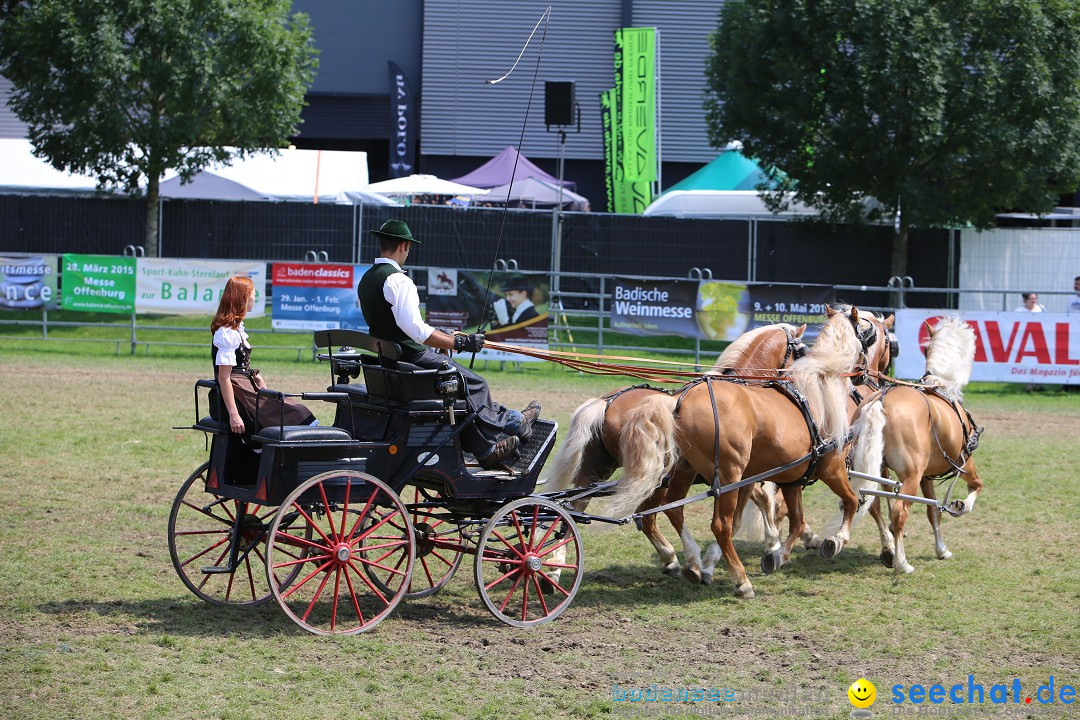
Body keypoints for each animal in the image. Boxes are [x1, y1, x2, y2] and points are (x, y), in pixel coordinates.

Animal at [544, 323, 807, 578]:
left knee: (578, 508)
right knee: (652, 514)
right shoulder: (739, 474)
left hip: (599, 466)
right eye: (800, 351)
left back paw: (557, 567)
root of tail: (606, 402)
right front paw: (774, 543)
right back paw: (682, 559)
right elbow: (759, 503)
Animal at [609, 306, 876, 595]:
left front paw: (777, 555)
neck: (817, 390)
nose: (864, 376)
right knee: (716, 525)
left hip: (684, 471)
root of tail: (677, 401)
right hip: (726, 476)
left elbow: (795, 519)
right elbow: (850, 501)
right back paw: (739, 580)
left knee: (668, 512)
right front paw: (835, 540)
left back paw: (689, 562)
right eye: (867, 338)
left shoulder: (789, 479)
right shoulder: (831, 467)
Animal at [846, 315, 984, 574]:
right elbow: (976, 487)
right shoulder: (964, 463)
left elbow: (932, 511)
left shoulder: (927, 476)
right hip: (910, 476)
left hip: (874, 470)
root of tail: (880, 401)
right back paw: (902, 563)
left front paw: (941, 549)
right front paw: (960, 506)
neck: (941, 385)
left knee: (870, 501)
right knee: (900, 511)